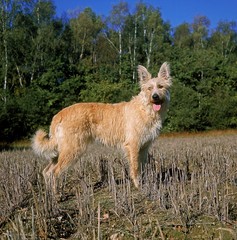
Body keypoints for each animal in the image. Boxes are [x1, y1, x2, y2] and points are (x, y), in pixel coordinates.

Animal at [32, 62, 172, 191]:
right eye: (149, 88)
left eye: (161, 86)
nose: (155, 96)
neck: (146, 108)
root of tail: (59, 114)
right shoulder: (133, 146)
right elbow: (135, 168)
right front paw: (138, 186)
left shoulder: (143, 148)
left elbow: (142, 167)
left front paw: (145, 184)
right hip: (72, 149)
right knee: (54, 172)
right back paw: (56, 195)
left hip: (60, 150)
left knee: (46, 171)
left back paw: (49, 195)